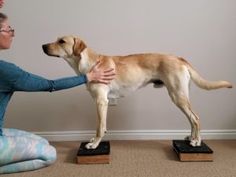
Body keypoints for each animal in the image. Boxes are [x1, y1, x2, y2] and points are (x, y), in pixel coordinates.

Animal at [42, 36, 232, 149]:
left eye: (61, 41)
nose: (43, 45)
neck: (89, 63)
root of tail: (179, 58)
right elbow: (102, 126)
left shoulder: (101, 101)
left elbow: (100, 127)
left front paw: (94, 144)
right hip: (182, 96)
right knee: (192, 119)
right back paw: (191, 137)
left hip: (177, 96)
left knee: (196, 118)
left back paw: (197, 141)